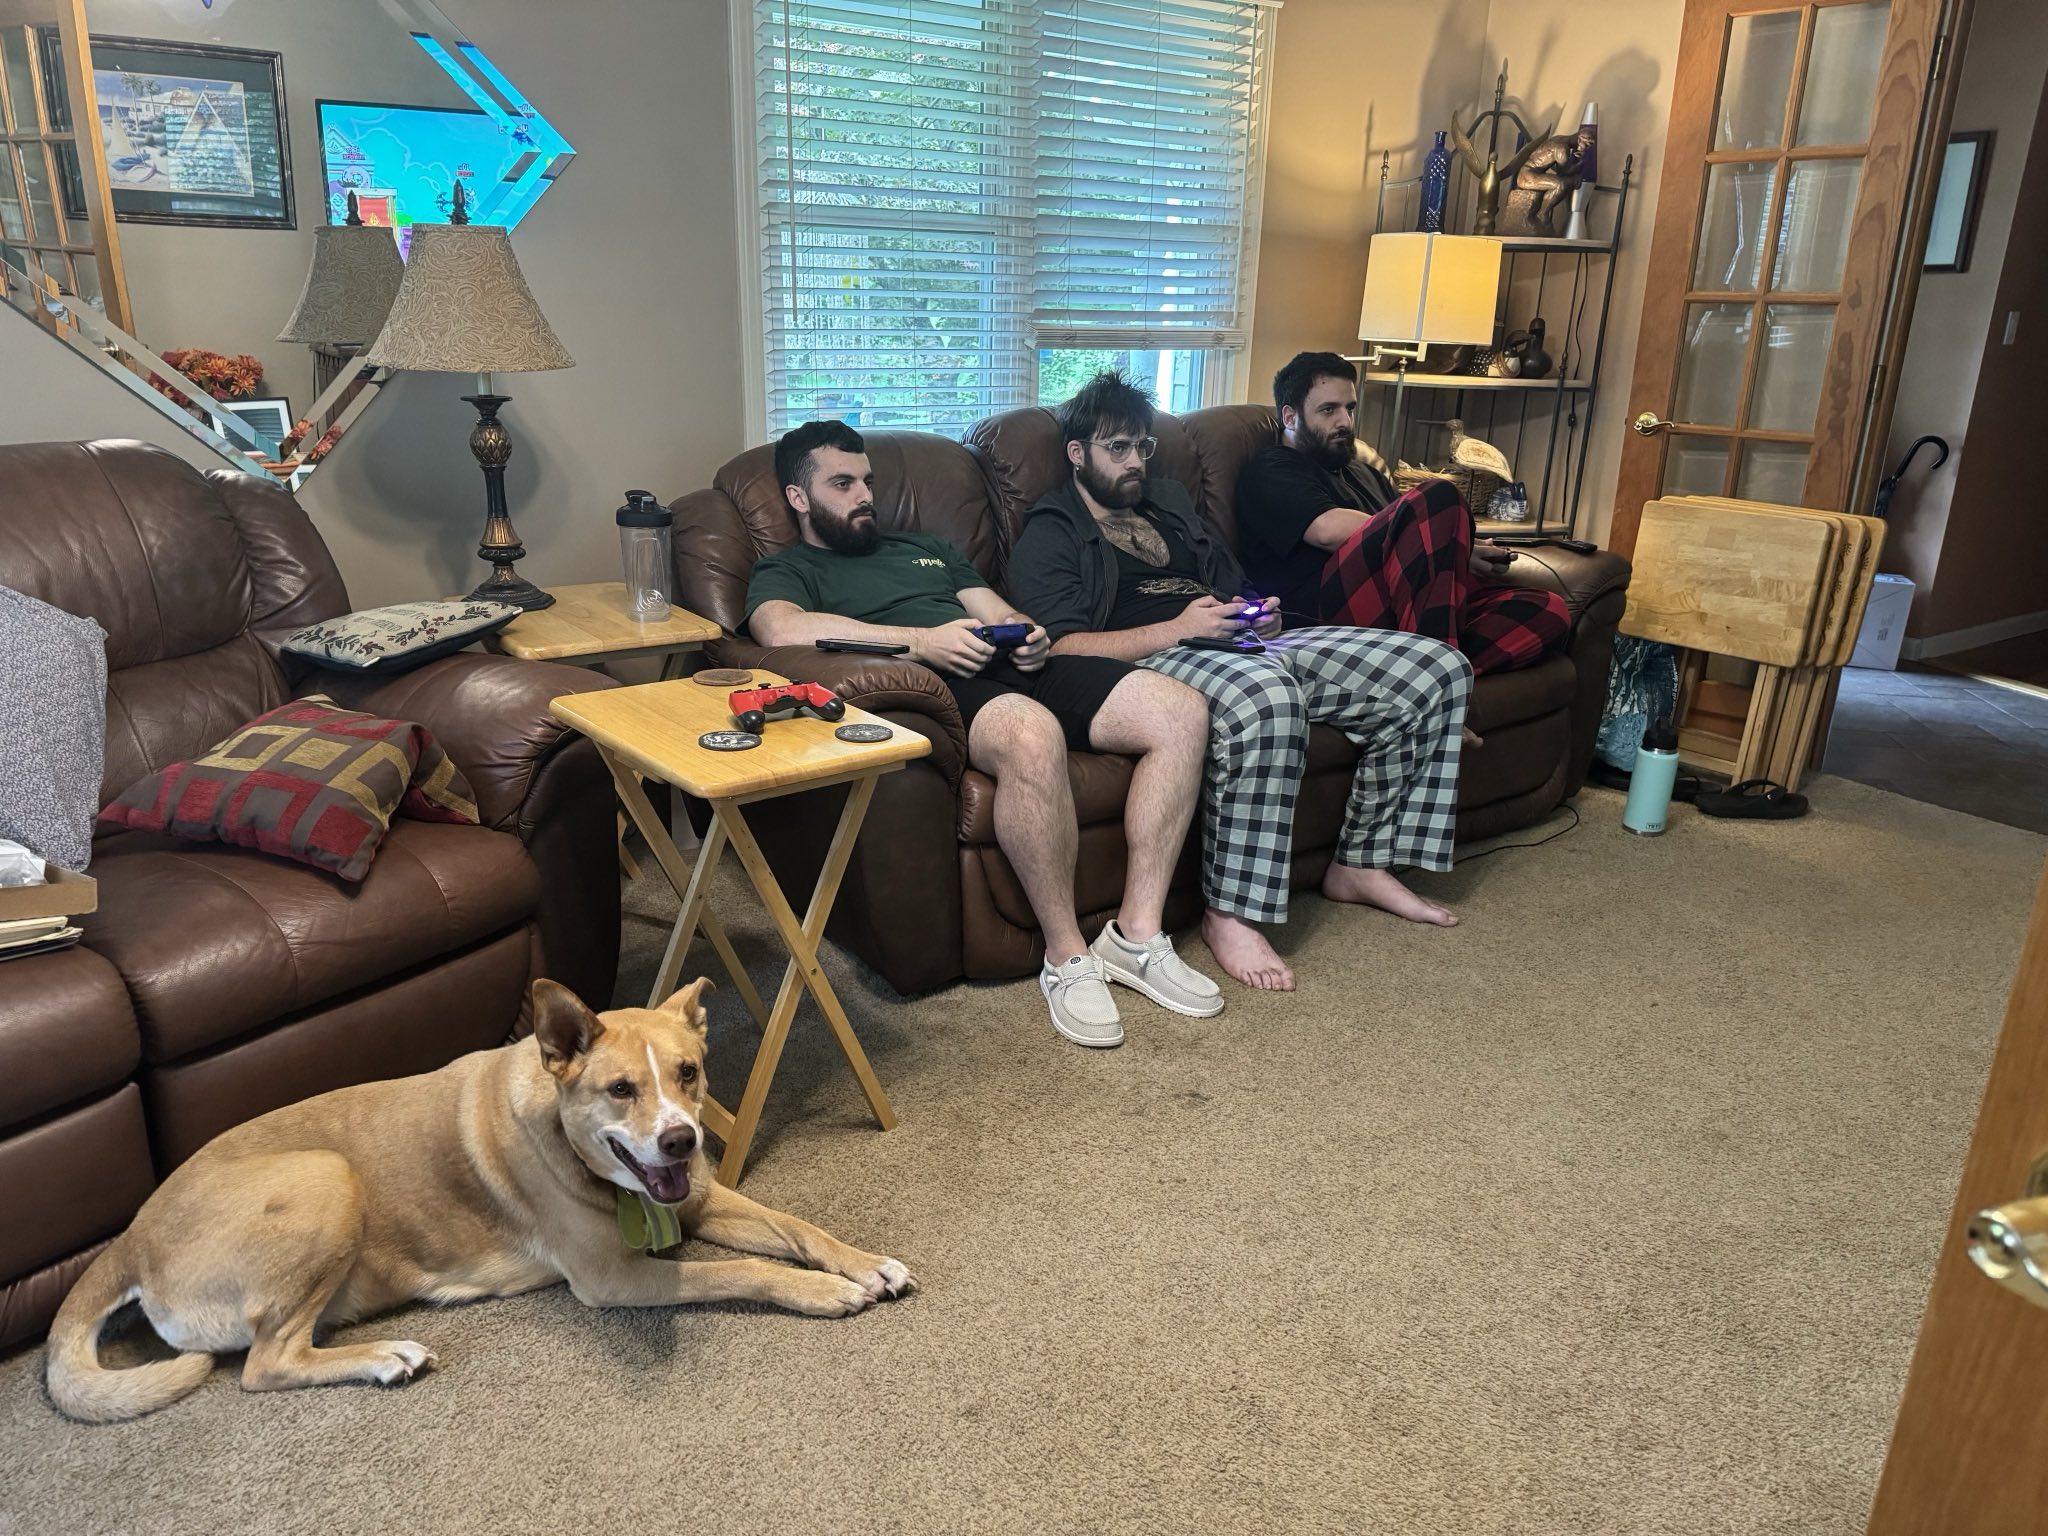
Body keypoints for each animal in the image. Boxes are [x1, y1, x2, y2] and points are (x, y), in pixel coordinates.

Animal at [44, 978, 913, 1425]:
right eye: (620, 1089)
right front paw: (827, 1293)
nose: (681, 1143)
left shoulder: (695, 1202)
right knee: (265, 1365)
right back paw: (385, 1358)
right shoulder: (616, 1279)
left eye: (689, 1072)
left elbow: (796, 1227)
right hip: (326, 1178)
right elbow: (741, 1273)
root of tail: (126, 1239)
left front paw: (865, 1263)